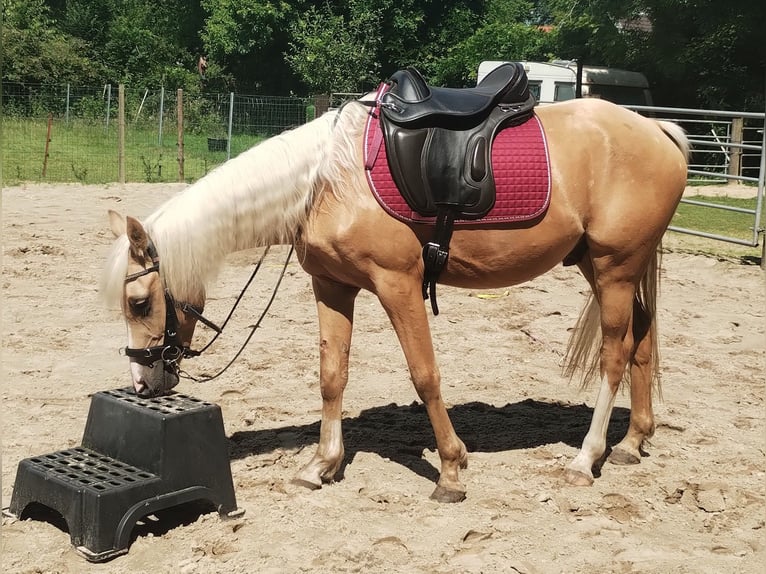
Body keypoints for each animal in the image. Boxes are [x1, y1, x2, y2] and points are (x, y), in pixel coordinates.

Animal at [102, 95, 688, 504]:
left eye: (139, 303)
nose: (142, 382)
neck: (324, 182)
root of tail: (658, 129)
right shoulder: (332, 287)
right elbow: (331, 375)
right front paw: (320, 466)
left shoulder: (398, 284)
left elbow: (424, 374)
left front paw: (451, 470)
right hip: (606, 268)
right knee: (642, 340)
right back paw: (632, 443)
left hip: (614, 269)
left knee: (614, 353)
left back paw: (586, 458)